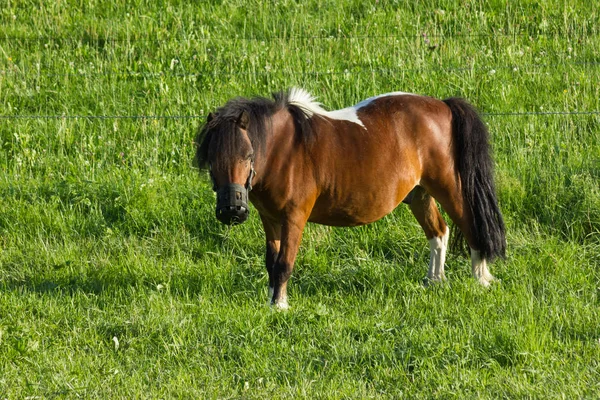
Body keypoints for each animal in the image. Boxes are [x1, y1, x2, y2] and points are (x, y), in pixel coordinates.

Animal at [197, 88, 506, 310]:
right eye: (211, 159)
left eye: (247, 155)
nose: (232, 210)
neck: (283, 149)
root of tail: (443, 106)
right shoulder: (270, 219)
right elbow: (271, 261)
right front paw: (271, 301)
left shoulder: (294, 218)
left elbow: (284, 262)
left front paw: (280, 307)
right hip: (419, 194)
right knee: (439, 232)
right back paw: (434, 281)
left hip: (448, 186)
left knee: (471, 225)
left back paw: (481, 279)